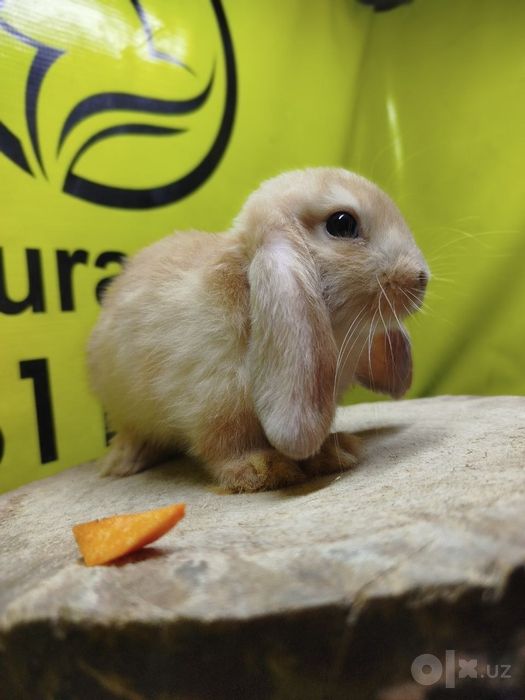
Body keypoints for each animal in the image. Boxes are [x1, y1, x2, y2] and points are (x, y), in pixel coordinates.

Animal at [87, 168, 429, 492]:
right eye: (342, 224)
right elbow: (226, 443)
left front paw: (331, 454)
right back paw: (123, 462)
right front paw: (263, 469)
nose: (420, 278)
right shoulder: (213, 402)